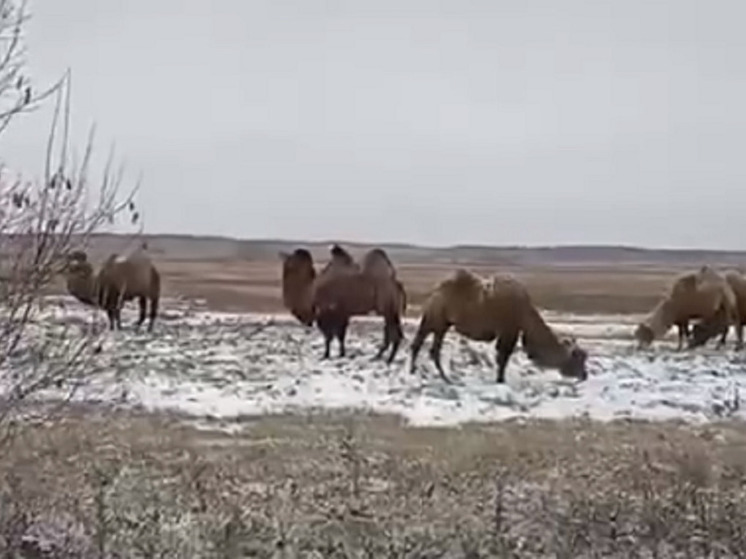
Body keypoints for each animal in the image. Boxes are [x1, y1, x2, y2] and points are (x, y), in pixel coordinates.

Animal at [406, 270, 588, 384]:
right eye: (577, 358)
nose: (585, 375)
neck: (525, 314)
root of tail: (435, 291)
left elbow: (501, 357)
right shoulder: (509, 330)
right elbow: (503, 358)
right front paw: (500, 380)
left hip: (443, 323)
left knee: (431, 348)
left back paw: (435, 375)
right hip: (435, 317)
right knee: (422, 343)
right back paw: (427, 374)